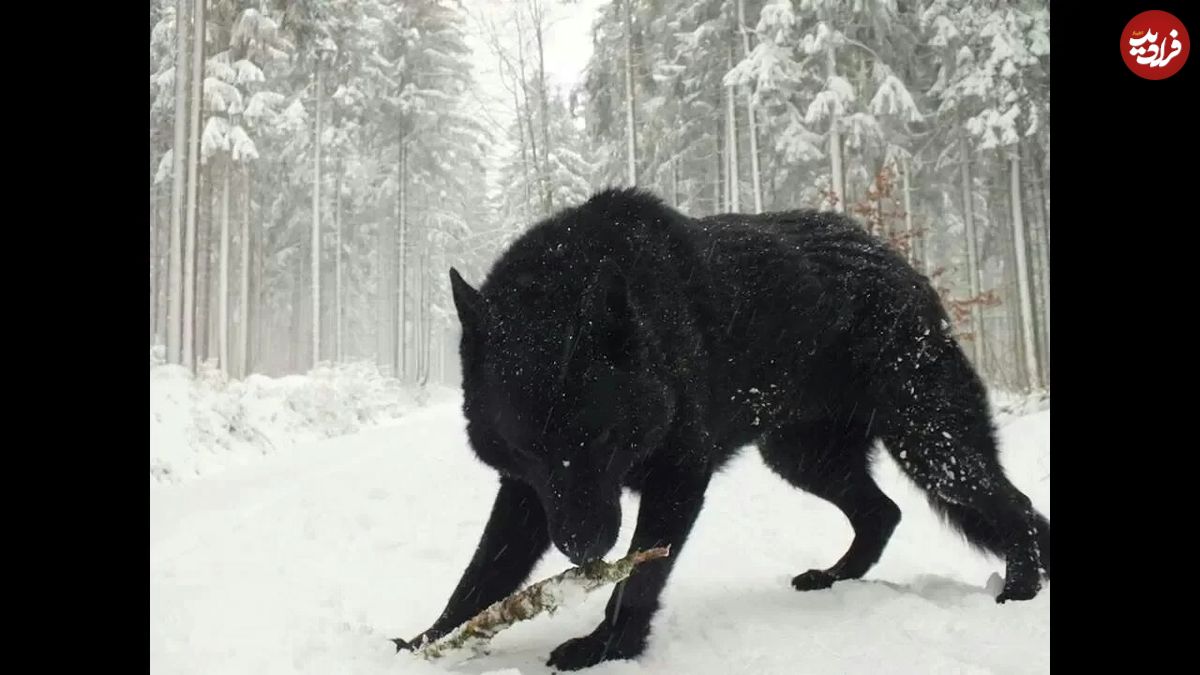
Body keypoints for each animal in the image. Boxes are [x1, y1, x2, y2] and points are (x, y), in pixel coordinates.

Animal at [393, 187, 1051, 667]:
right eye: (529, 448)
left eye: (601, 439)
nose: (583, 550)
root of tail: (902, 266)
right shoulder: (530, 494)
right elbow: (481, 574)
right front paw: (426, 642)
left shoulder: (677, 480)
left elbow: (637, 580)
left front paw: (606, 648)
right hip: (804, 458)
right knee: (882, 513)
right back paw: (834, 577)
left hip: (932, 448)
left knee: (1014, 506)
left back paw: (1020, 588)